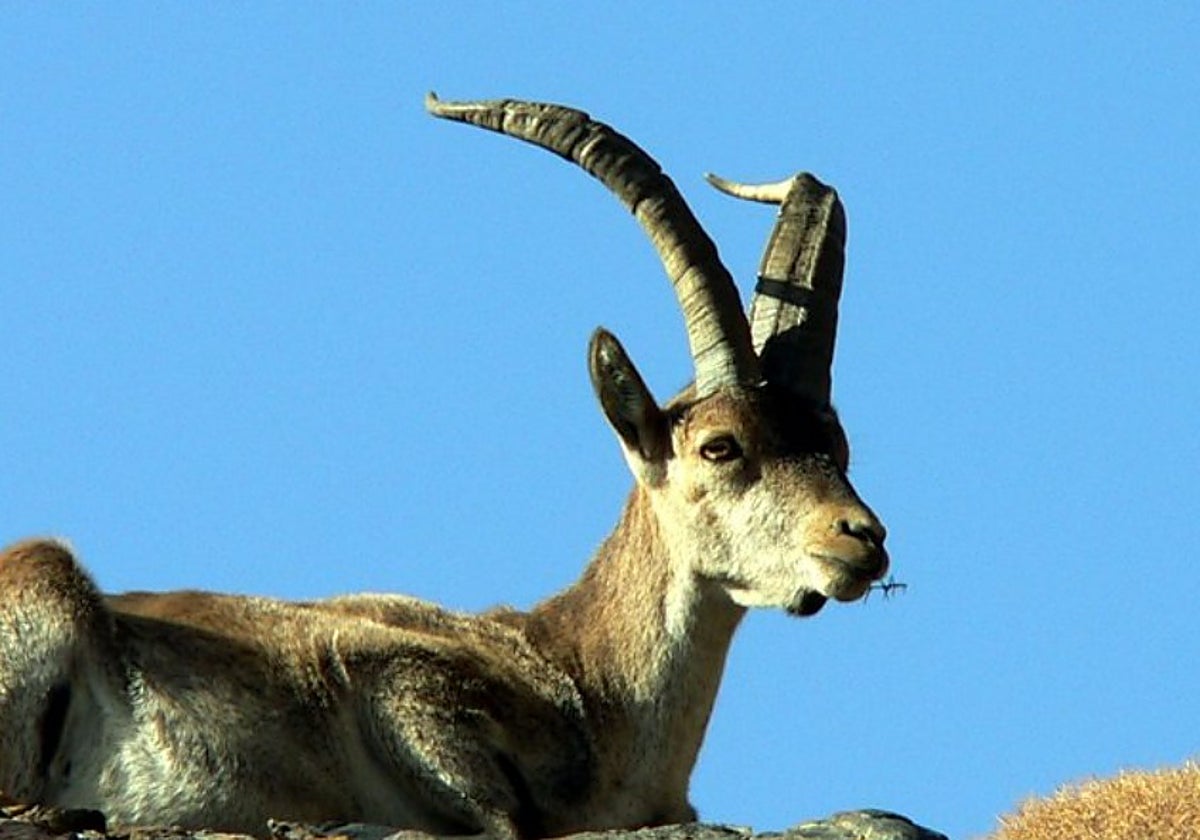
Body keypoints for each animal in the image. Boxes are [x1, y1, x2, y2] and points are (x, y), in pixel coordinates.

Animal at [0, 95, 888, 839]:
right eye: (721, 445)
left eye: (837, 444)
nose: (862, 538)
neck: (587, 681)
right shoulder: (397, 684)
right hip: (44, 591)